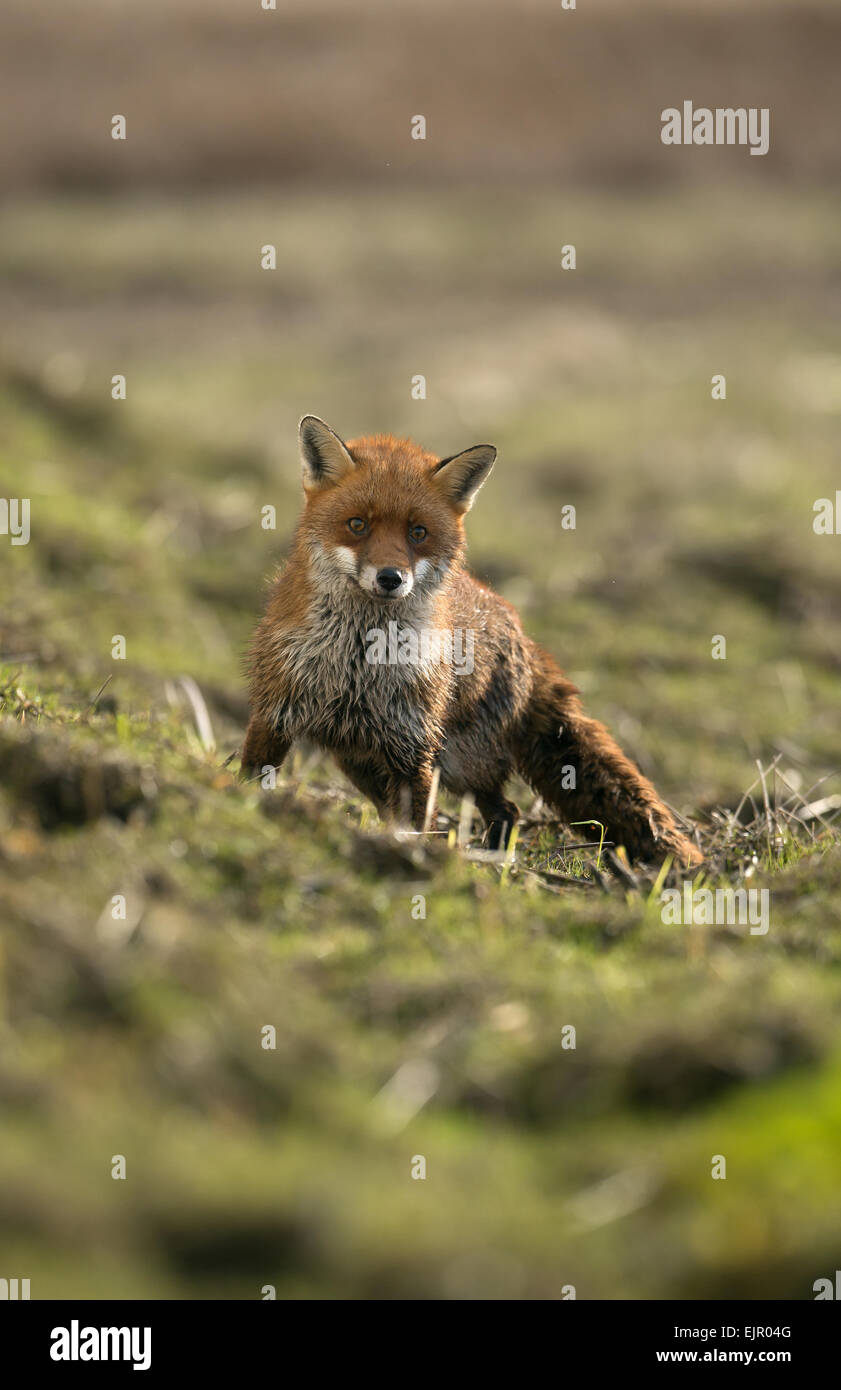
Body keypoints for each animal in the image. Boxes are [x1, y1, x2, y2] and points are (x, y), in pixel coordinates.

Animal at [243, 417, 700, 861]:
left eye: (418, 532)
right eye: (357, 525)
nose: (391, 578)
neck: (357, 660)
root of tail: (523, 635)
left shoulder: (413, 745)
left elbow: (417, 818)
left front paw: (411, 851)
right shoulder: (275, 712)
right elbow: (253, 771)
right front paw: (247, 803)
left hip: (460, 762)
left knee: (506, 809)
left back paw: (492, 858)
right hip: (361, 760)